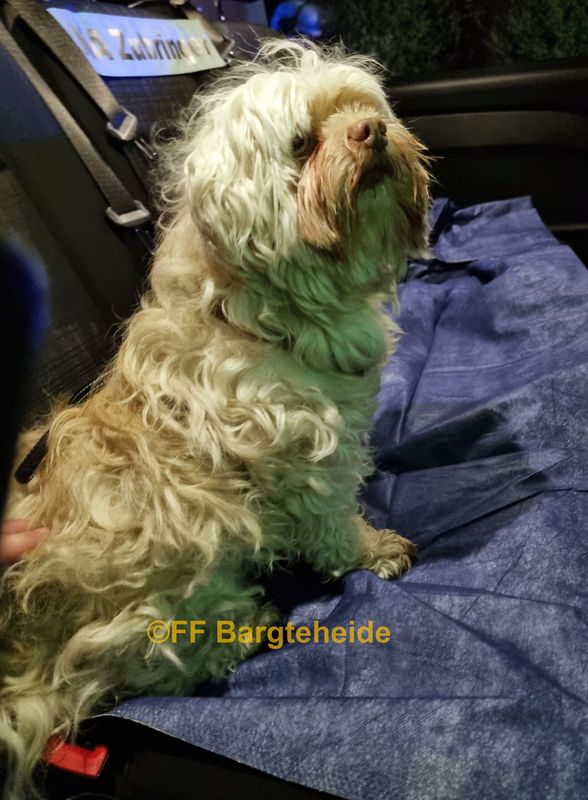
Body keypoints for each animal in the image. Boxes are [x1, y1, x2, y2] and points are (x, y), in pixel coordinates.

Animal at [0, 39, 429, 799]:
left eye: (360, 110)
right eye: (301, 143)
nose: (372, 132)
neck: (262, 313)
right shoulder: (305, 467)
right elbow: (335, 530)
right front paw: (374, 549)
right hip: (161, 610)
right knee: (149, 670)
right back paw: (244, 630)